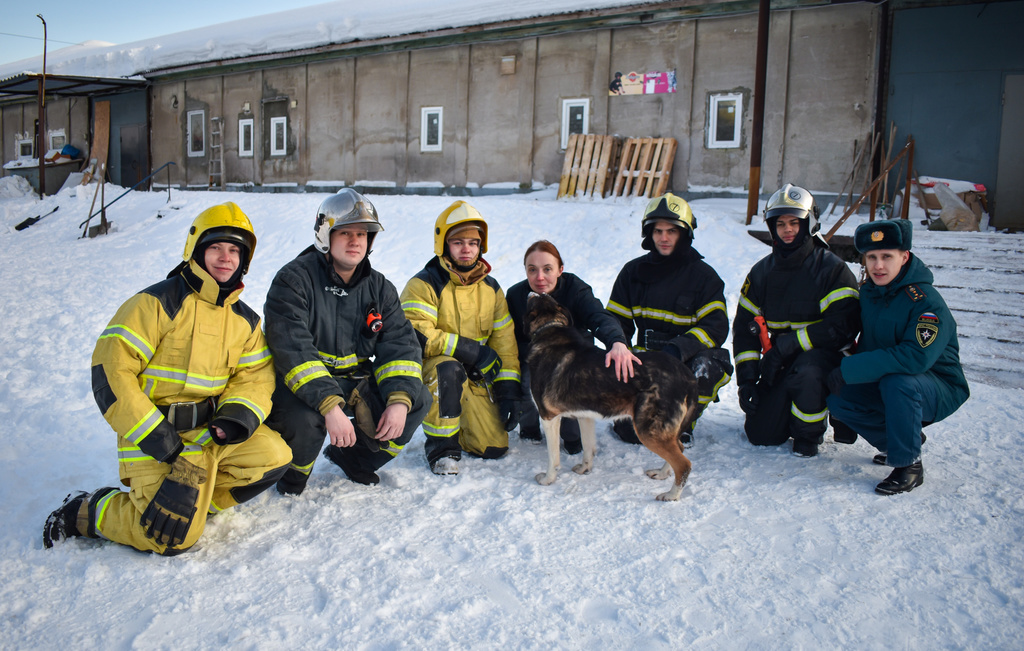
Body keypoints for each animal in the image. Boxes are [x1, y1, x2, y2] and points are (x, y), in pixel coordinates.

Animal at [524, 292, 700, 501]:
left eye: (535, 298)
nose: (534, 291)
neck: (550, 326)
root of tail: (688, 377)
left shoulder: (549, 416)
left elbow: (553, 458)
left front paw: (547, 479)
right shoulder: (585, 415)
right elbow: (588, 448)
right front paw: (585, 469)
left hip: (648, 430)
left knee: (684, 464)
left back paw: (671, 495)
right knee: (679, 448)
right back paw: (661, 473)